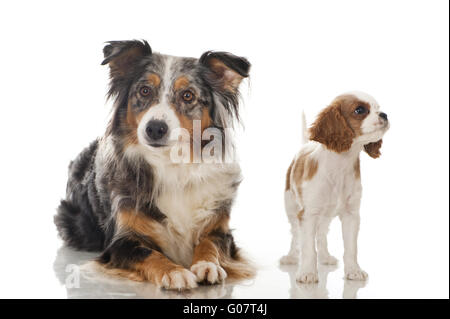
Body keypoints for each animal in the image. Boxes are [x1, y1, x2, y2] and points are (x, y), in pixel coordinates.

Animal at [284, 91, 388, 284]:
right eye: (360, 110)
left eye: (378, 108)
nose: (384, 115)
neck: (341, 164)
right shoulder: (308, 215)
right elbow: (307, 246)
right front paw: (307, 273)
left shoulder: (351, 215)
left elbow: (351, 248)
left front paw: (354, 271)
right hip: (291, 207)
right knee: (295, 235)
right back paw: (291, 257)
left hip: (325, 216)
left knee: (321, 235)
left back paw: (325, 257)